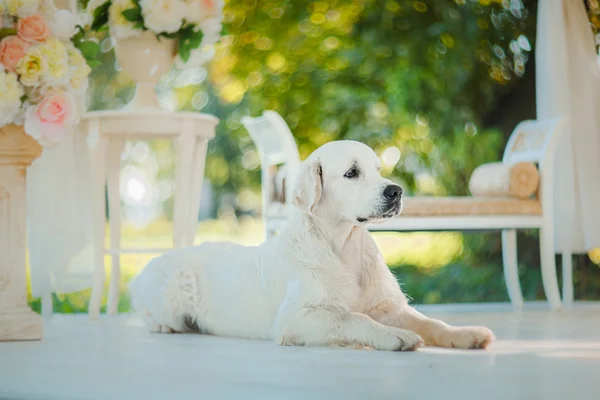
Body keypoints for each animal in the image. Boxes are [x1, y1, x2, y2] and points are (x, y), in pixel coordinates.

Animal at [134, 141, 494, 350]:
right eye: (352, 172)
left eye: (379, 169)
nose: (396, 191)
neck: (343, 248)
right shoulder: (295, 319)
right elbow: (352, 318)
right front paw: (393, 336)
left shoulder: (387, 306)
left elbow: (429, 321)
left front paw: (464, 334)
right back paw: (164, 325)